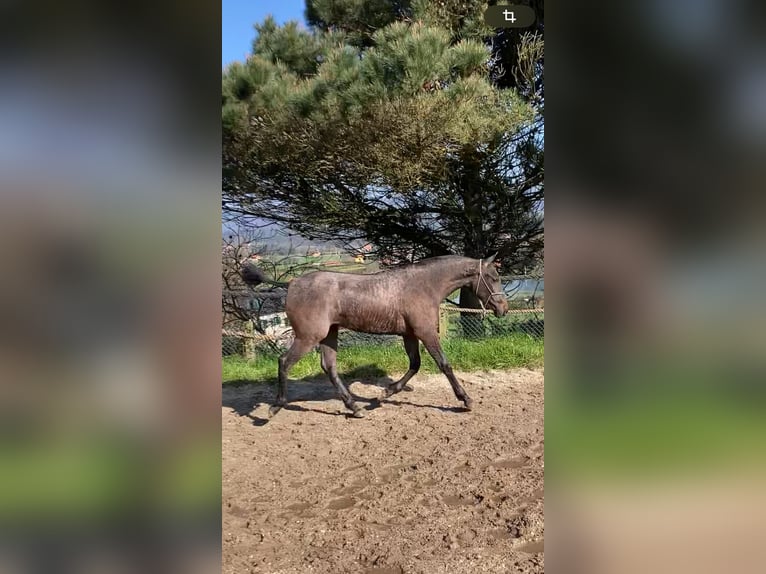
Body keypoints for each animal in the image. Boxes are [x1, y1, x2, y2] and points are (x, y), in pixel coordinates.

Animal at [241, 254, 508, 417]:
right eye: (493, 277)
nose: (503, 308)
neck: (424, 285)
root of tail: (292, 284)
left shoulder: (409, 334)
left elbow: (415, 365)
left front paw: (385, 393)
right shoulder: (425, 332)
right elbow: (443, 364)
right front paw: (466, 400)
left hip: (328, 334)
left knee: (329, 367)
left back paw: (355, 407)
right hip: (308, 336)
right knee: (284, 362)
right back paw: (275, 408)